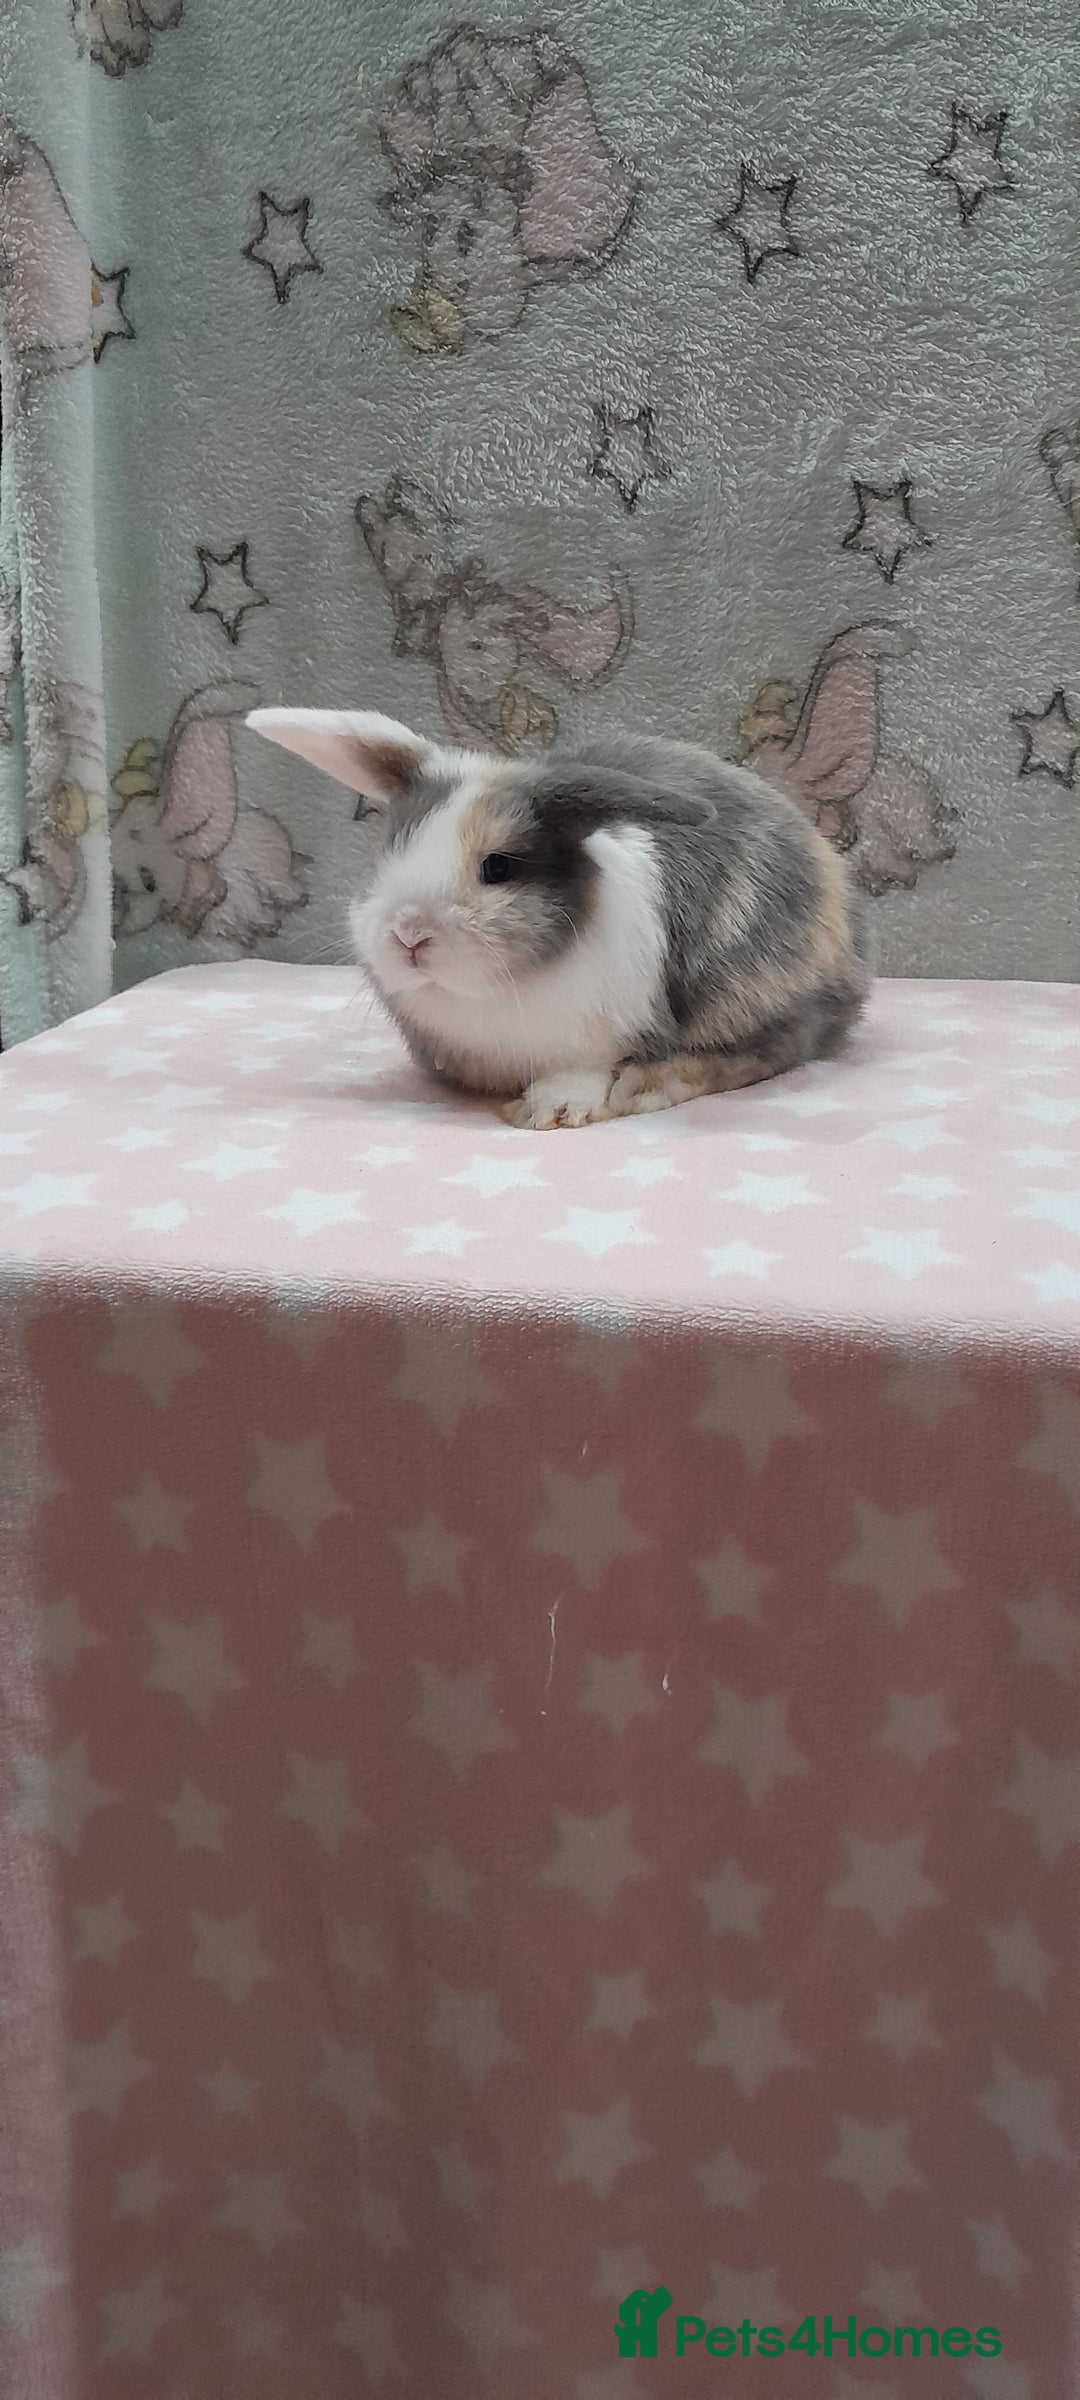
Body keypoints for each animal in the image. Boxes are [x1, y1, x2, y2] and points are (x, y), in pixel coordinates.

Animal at [247, 707, 873, 1129]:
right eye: (389, 851)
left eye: (498, 867)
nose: (407, 936)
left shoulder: (598, 1038)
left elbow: (584, 1072)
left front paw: (550, 1110)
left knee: (772, 1048)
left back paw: (647, 1087)